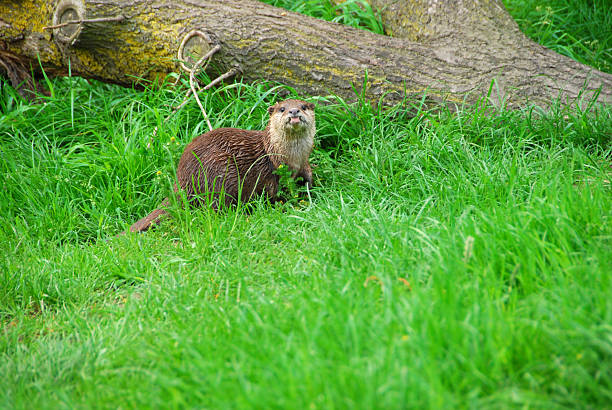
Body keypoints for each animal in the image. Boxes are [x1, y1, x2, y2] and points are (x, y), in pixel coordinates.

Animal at [125, 98, 316, 234]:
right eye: (282, 108)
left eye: (303, 106)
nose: (294, 111)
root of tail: (182, 179)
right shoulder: (270, 175)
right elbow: (274, 194)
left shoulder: (303, 165)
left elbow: (308, 178)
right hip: (221, 171)